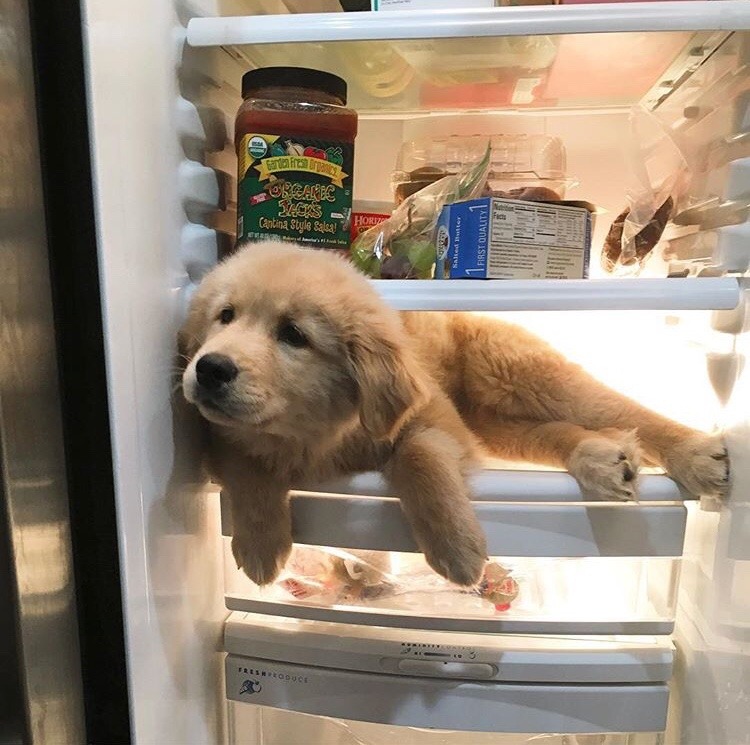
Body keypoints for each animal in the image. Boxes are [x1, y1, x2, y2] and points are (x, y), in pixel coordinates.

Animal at [180, 241, 730, 588]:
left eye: (294, 335)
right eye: (225, 316)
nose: (209, 369)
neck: (309, 434)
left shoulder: (435, 420)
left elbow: (418, 457)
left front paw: (456, 549)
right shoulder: (218, 438)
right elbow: (247, 466)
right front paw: (260, 545)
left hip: (518, 372)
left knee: (618, 407)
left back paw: (695, 453)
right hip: (497, 426)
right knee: (559, 431)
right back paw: (603, 456)